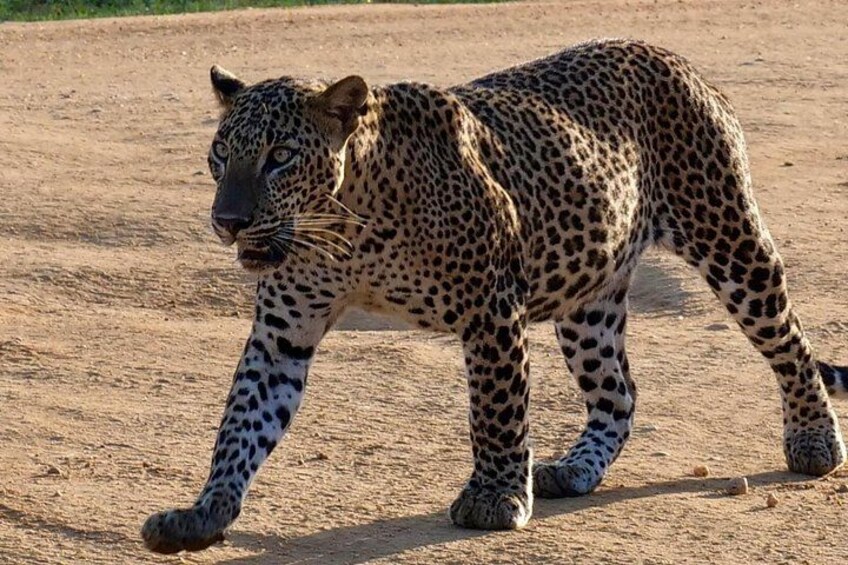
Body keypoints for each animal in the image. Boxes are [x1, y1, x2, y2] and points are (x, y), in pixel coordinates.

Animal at [141, 39, 847, 553]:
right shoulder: (282, 333)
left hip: (730, 241)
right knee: (619, 393)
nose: (228, 221)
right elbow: (241, 424)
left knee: (791, 345)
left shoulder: (491, 308)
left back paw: (814, 442)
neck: (345, 228)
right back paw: (575, 470)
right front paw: (205, 511)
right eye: (220, 153)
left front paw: (496, 497)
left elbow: (496, 412)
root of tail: (678, 61)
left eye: (281, 155)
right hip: (587, 299)